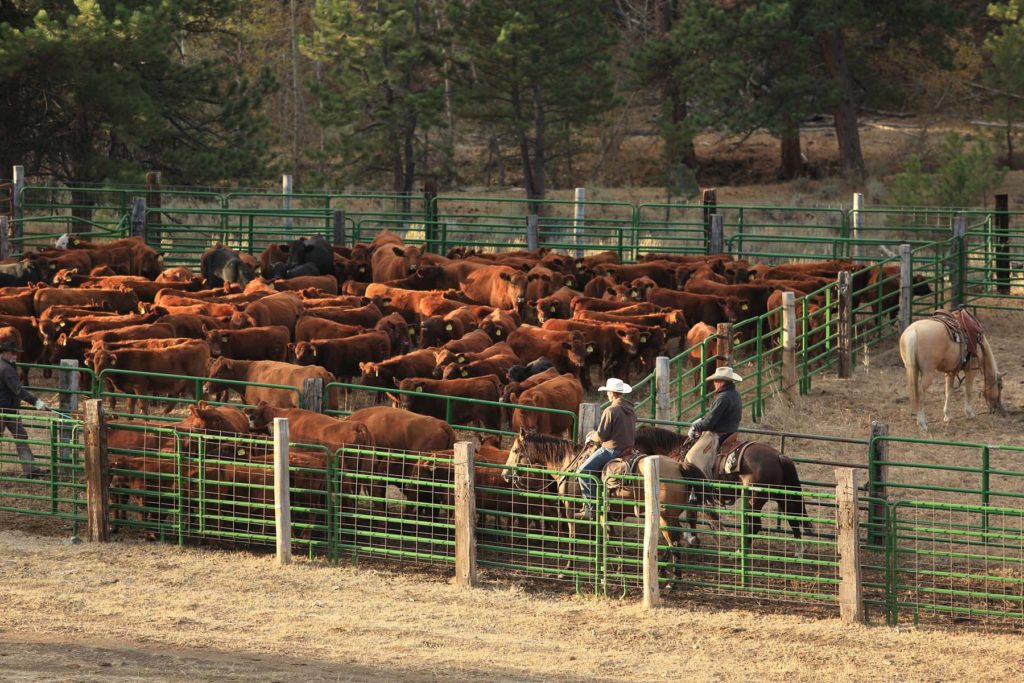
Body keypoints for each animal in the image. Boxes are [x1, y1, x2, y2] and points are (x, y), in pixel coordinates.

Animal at [501, 432, 708, 573]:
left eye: (515, 450)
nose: (505, 474)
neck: (568, 462)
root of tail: (679, 466)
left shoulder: (570, 509)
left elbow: (573, 535)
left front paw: (568, 566)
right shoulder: (602, 513)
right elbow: (609, 535)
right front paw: (615, 566)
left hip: (665, 516)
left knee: (674, 541)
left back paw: (671, 581)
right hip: (669, 515)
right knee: (674, 539)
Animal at [634, 423, 811, 540]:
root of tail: (778, 456)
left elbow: (694, 517)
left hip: (754, 499)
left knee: (756, 525)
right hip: (781, 495)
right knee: (793, 520)